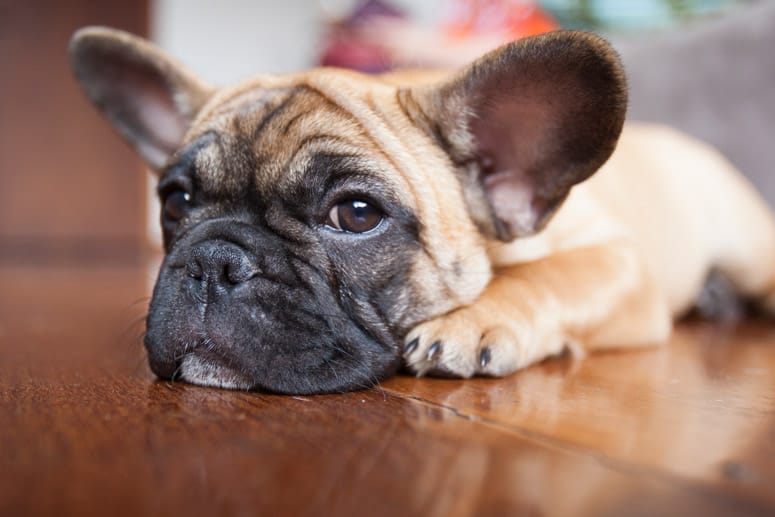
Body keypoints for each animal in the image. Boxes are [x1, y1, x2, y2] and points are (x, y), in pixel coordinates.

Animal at [69, 26, 775, 394]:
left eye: (356, 215)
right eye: (176, 200)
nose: (214, 261)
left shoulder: (621, 263)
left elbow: (551, 275)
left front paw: (475, 320)